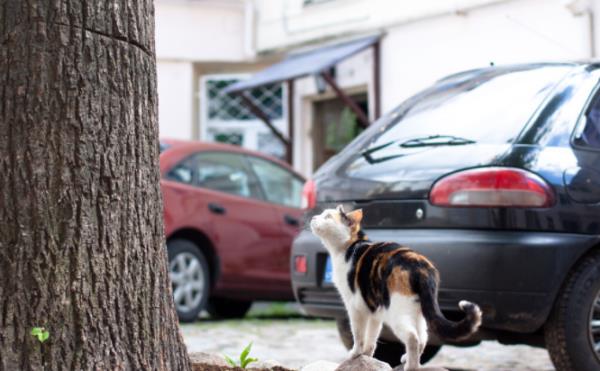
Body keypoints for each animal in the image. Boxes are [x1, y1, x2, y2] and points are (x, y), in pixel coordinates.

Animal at [310, 205, 482, 370]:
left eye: (328, 217)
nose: (313, 217)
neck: (350, 247)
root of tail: (420, 264)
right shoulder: (374, 310)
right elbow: (372, 337)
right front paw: (366, 355)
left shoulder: (355, 308)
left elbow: (358, 335)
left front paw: (355, 354)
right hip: (417, 311)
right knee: (423, 337)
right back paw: (410, 359)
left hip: (397, 312)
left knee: (412, 337)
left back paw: (411, 366)